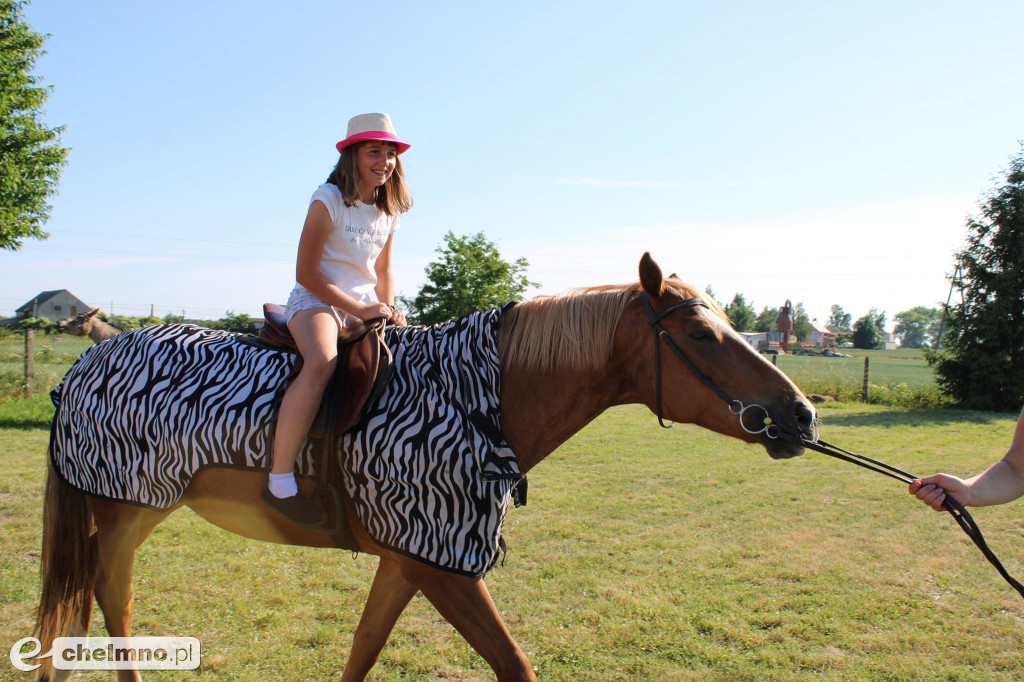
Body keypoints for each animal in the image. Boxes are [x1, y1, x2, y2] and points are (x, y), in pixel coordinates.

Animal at [32, 251, 815, 675]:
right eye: (701, 334)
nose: (801, 415)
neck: (471, 400)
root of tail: (85, 364)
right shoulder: (444, 568)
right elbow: (513, 663)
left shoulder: (411, 561)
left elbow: (363, 648)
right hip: (128, 507)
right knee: (110, 596)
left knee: (83, 595)